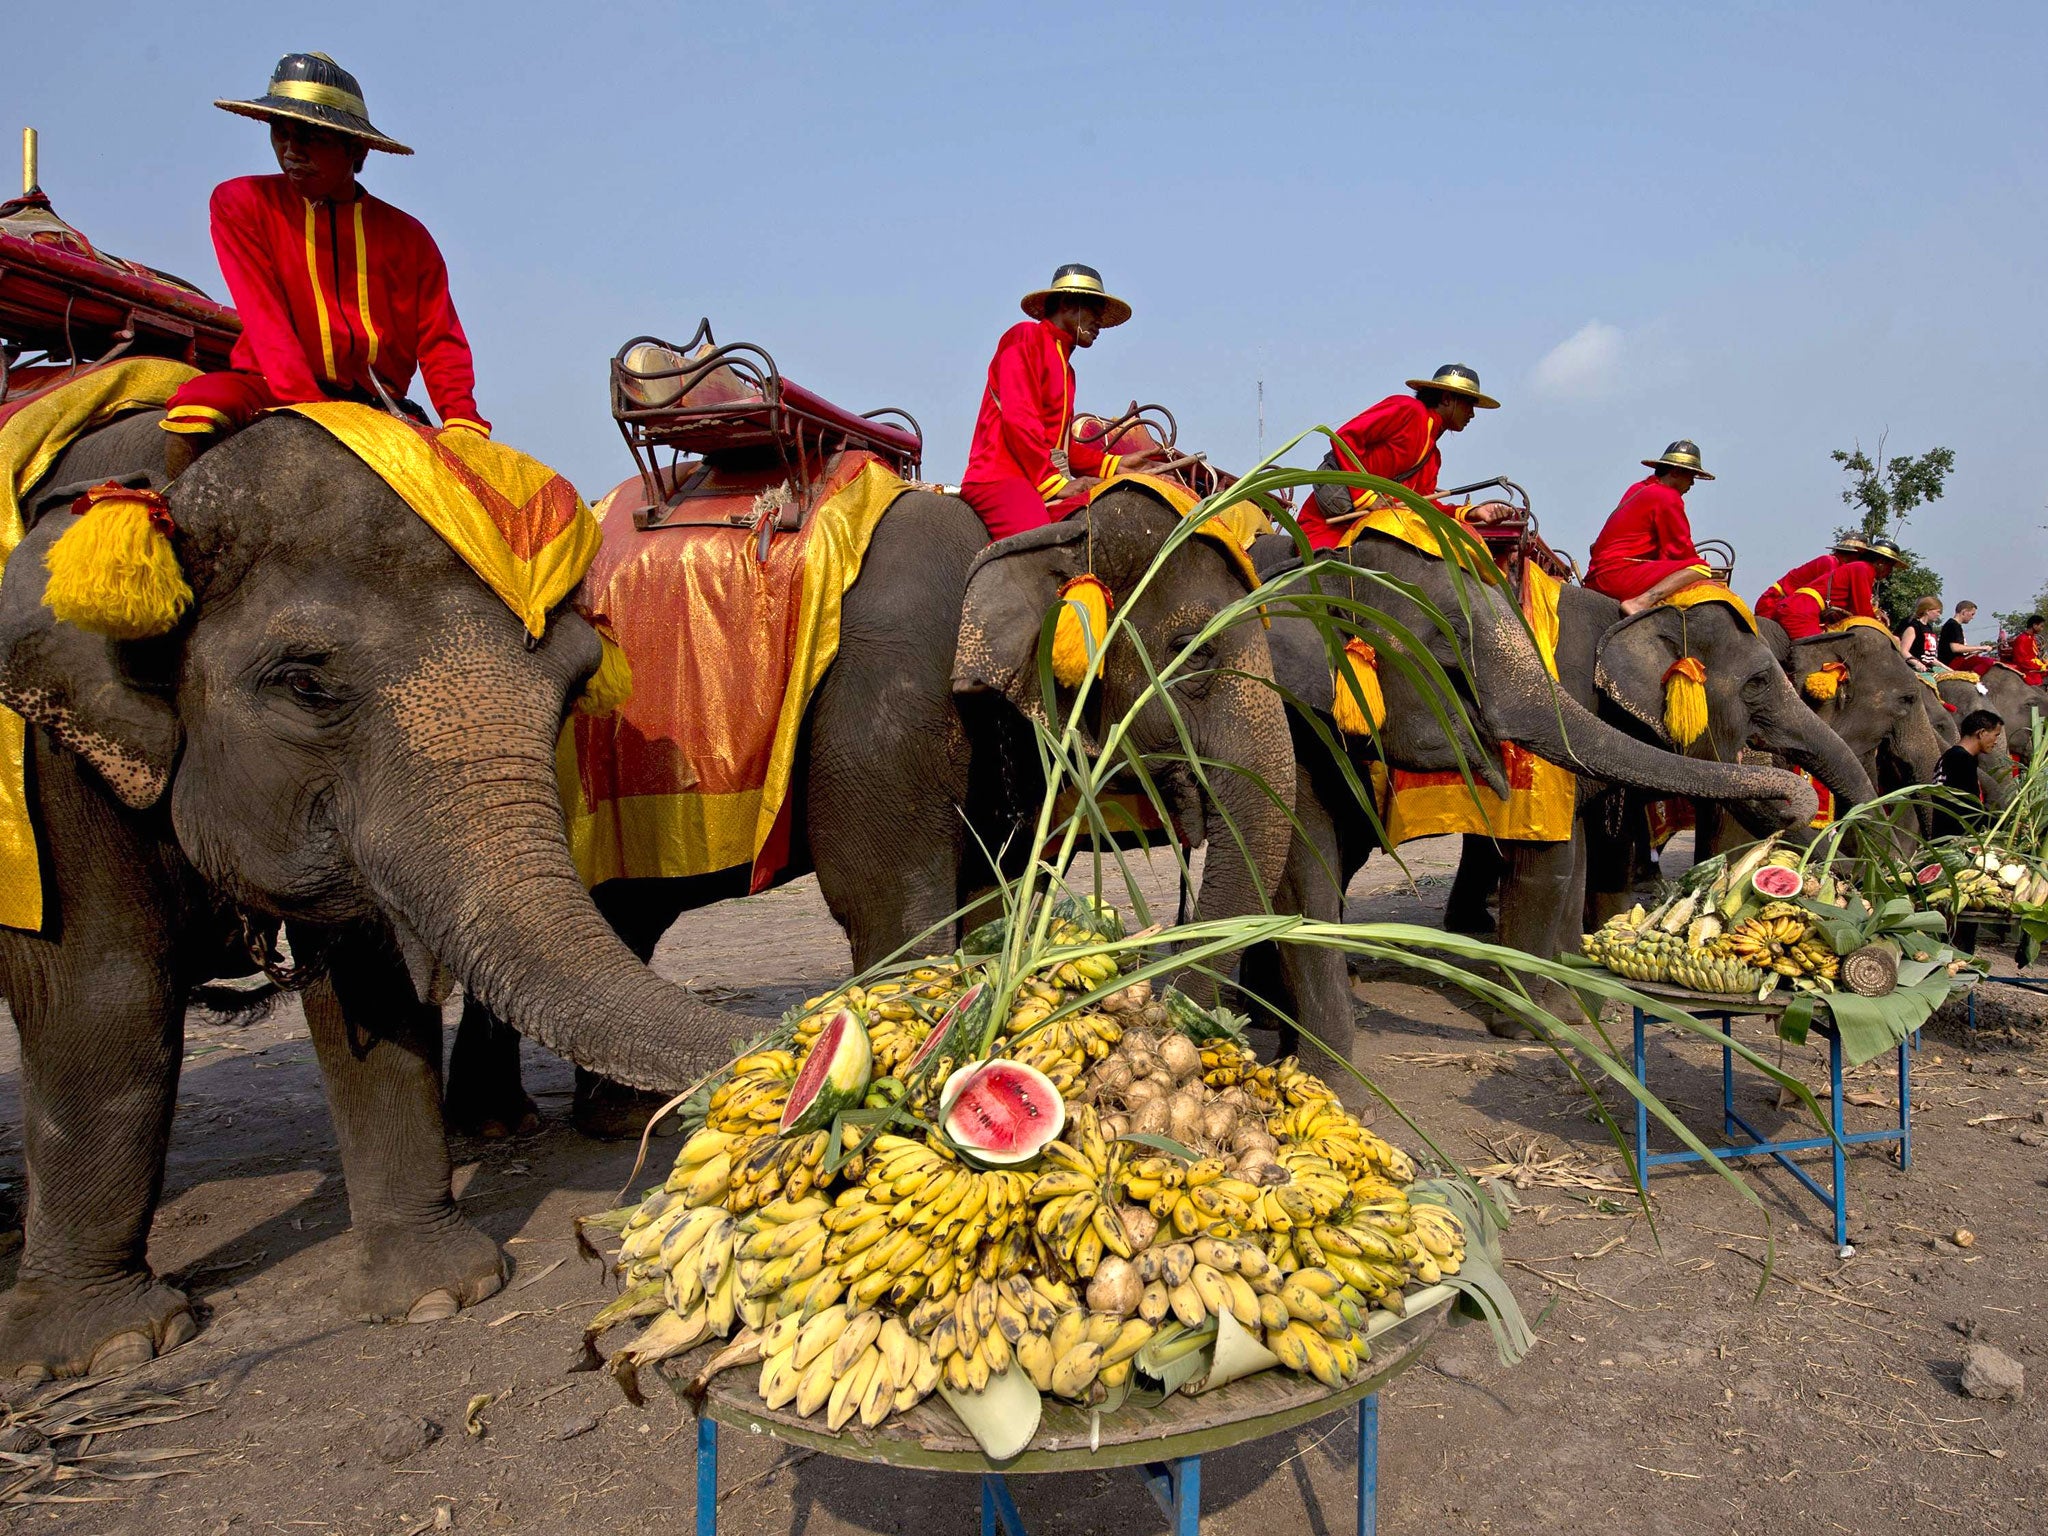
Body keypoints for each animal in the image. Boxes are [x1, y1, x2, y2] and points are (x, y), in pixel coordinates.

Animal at [0, 411, 770, 1384]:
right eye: (303, 683)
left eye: (576, 681)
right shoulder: (42, 762)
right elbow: (101, 993)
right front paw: (105, 1350)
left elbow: (369, 984)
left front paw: (437, 1295)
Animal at [444, 483, 1294, 1146]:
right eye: (1194, 653)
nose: (1196, 1029)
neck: (1030, 533)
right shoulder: (882, 700)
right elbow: (891, 906)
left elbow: (985, 901)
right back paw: (518, 1124)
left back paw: (578, 1119)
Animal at [1236, 532, 1867, 1056]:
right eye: (1759, 682)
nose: (1795, 800)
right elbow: (1548, 857)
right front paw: (1534, 1028)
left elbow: (1577, 854)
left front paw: (1577, 1006)